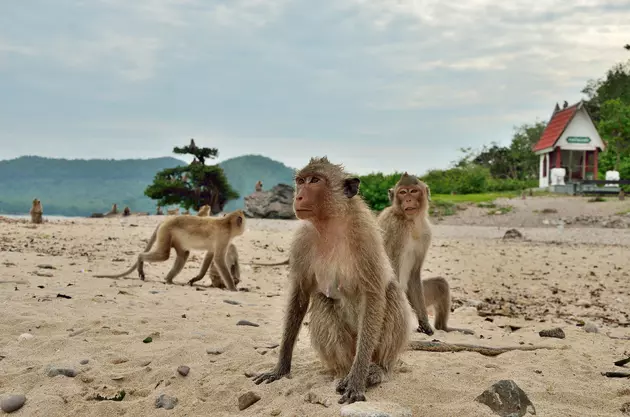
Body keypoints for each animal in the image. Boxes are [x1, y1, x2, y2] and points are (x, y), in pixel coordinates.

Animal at [94, 208, 247, 290]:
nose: (244, 228)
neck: (226, 223)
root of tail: (165, 220)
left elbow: (210, 255)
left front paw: (197, 278)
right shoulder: (224, 237)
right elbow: (219, 259)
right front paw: (233, 288)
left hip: (174, 237)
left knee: (183, 254)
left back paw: (168, 279)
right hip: (166, 232)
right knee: (164, 254)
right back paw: (141, 259)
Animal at [252, 156, 414, 404]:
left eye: (315, 180)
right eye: (301, 181)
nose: (299, 196)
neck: (330, 223)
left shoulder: (365, 236)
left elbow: (373, 294)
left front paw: (357, 381)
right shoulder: (302, 240)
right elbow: (300, 295)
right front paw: (280, 368)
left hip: (375, 350)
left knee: (391, 292)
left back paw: (374, 370)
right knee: (321, 300)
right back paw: (343, 372)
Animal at [380, 172, 474, 334]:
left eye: (413, 191)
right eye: (402, 192)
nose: (408, 199)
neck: (411, 222)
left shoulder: (426, 233)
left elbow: (414, 274)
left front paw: (424, 323)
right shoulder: (395, 228)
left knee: (441, 284)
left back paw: (444, 328)